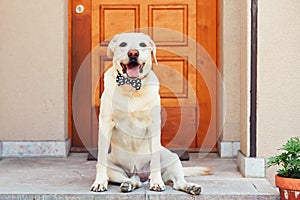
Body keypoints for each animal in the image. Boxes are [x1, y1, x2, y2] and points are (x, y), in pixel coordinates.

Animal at [90, 32, 210, 194]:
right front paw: (99, 182)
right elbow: (101, 159)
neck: (132, 87)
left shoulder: (153, 125)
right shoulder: (106, 124)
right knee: (132, 180)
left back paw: (190, 186)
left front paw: (157, 182)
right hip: (114, 167)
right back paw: (129, 184)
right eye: (123, 44)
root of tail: (139, 173)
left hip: (172, 158)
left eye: (142, 45)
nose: (133, 53)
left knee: (178, 182)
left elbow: (155, 161)